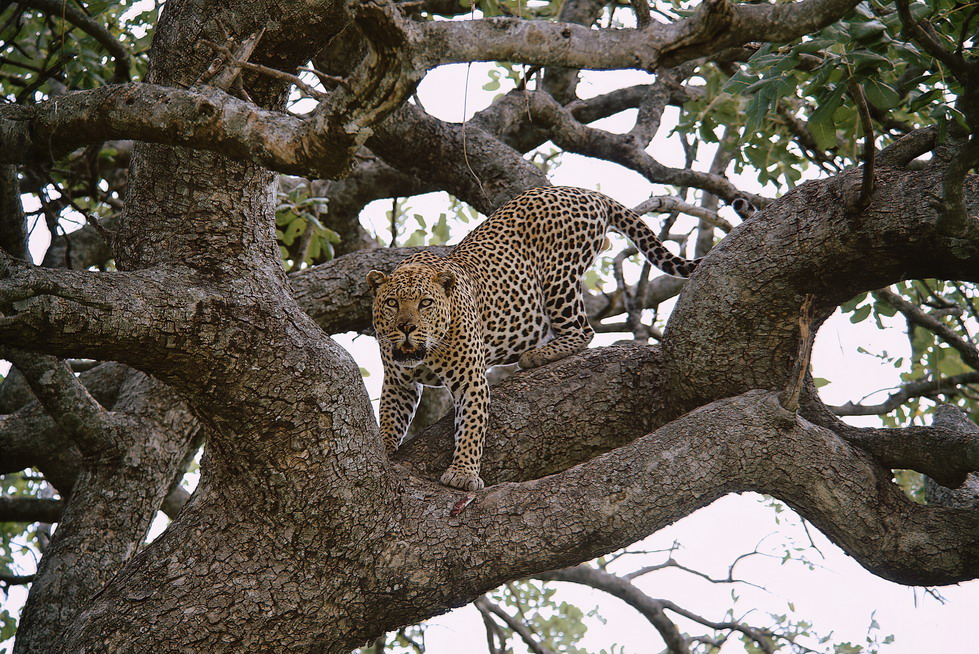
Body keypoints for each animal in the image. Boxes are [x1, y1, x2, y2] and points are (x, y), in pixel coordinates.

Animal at [364, 184, 700, 492]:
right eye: (392, 303)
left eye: (426, 303)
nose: (406, 327)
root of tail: (583, 191)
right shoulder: (398, 381)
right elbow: (391, 416)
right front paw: (384, 447)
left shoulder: (471, 379)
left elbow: (472, 426)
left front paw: (463, 473)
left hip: (558, 278)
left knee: (583, 330)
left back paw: (539, 354)